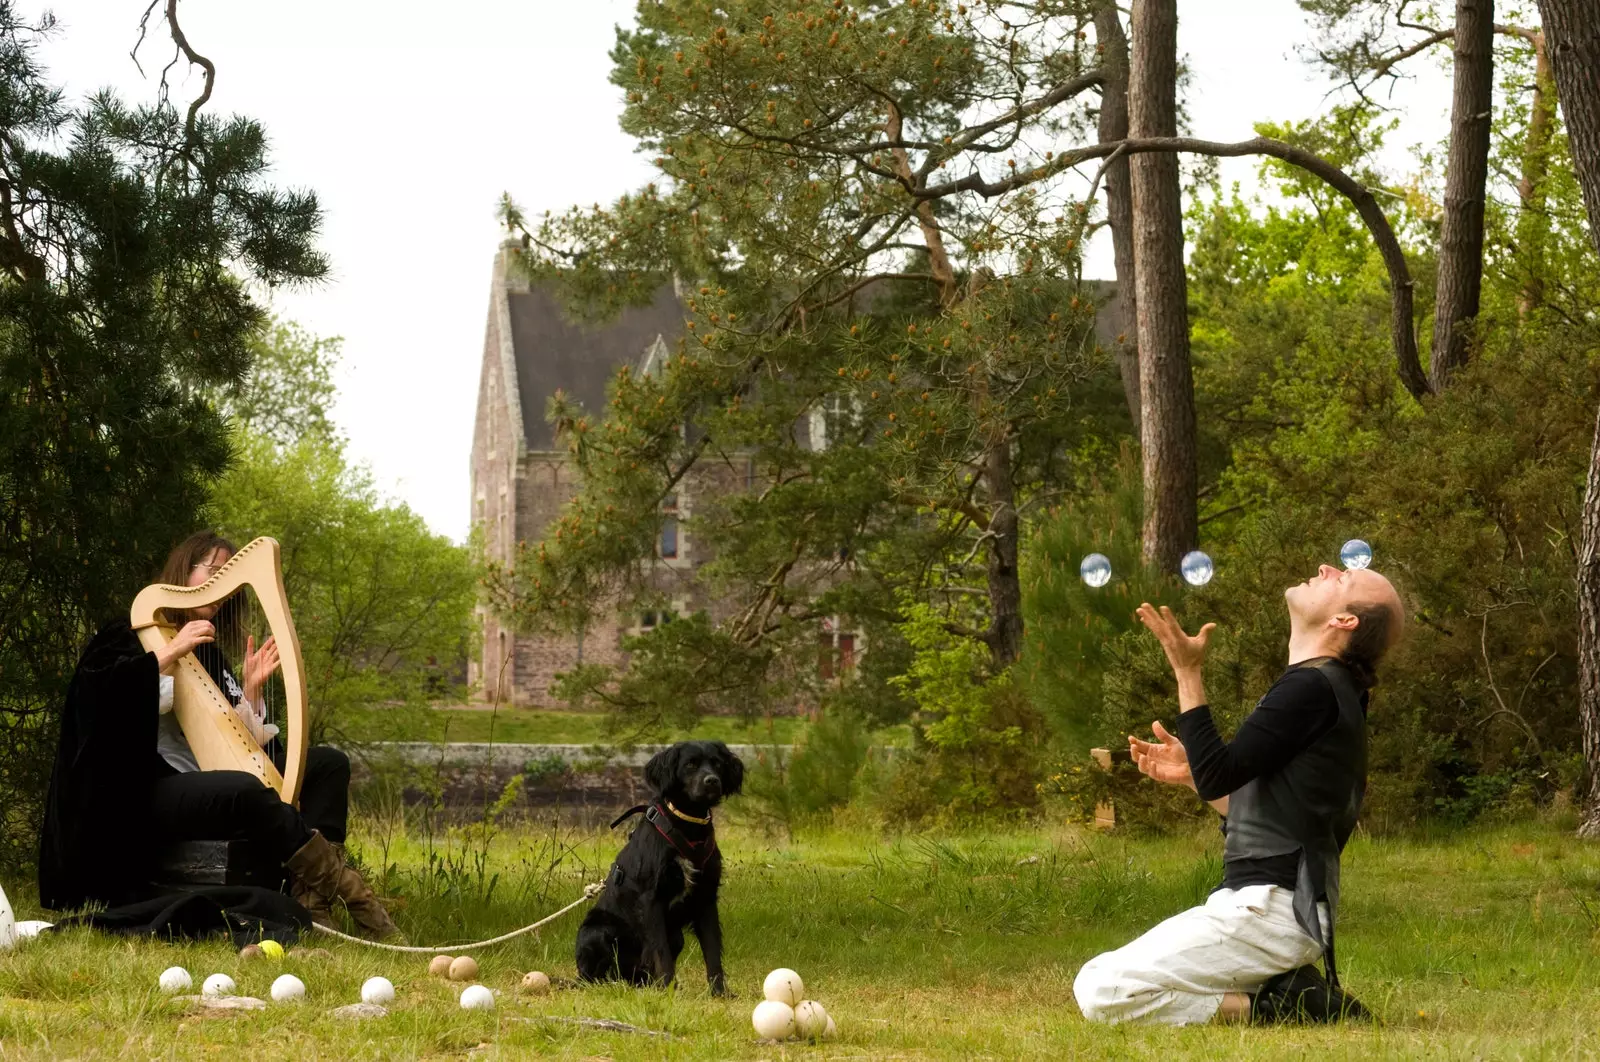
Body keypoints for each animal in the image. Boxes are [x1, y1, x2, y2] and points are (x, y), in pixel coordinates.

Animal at [579, 738, 745, 998]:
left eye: (717, 764)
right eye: (690, 764)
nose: (712, 781)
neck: (689, 827)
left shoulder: (706, 899)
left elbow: (713, 950)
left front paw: (720, 992)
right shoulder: (651, 899)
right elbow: (660, 950)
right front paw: (667, 990)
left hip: (676, 937)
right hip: (596, 931)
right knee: (595, 976)